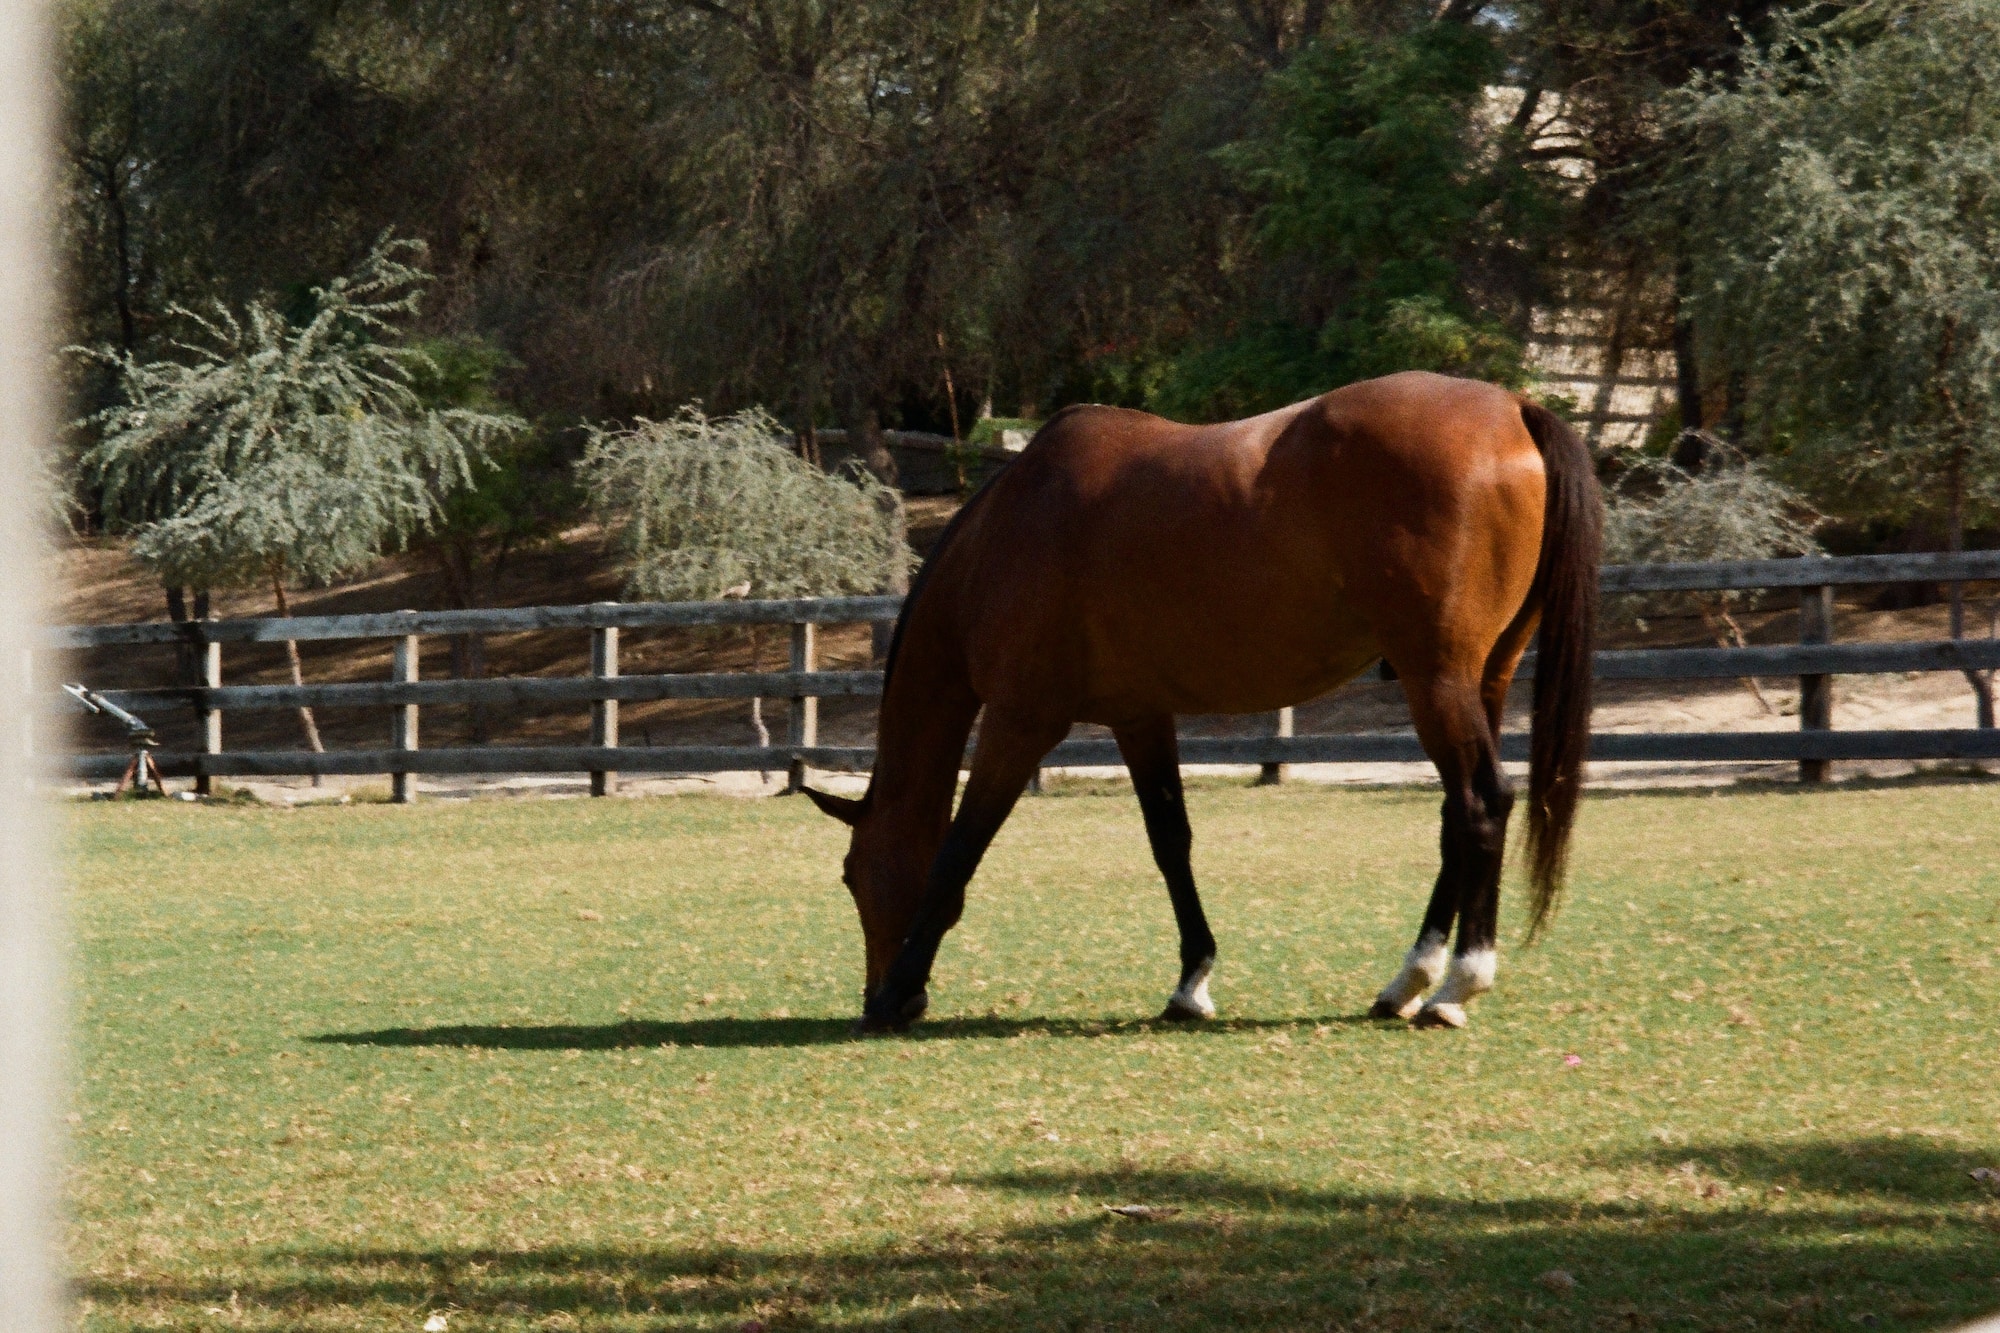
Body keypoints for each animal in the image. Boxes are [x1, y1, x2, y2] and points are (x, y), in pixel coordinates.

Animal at [804, 370, 1601, 1033]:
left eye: (851, 874)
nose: (874, 996)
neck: (1006, 534)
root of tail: (1513, 409)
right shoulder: (1139, 717)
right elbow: (1171, 842)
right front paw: (1191, 983)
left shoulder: (1019, 722)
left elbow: (960, 849)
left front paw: (901, 984)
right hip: (1481, 679)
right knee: (1455, 822)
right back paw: (1408, 980)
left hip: (1435, 679)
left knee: (1481, 804)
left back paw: (1457, 984)